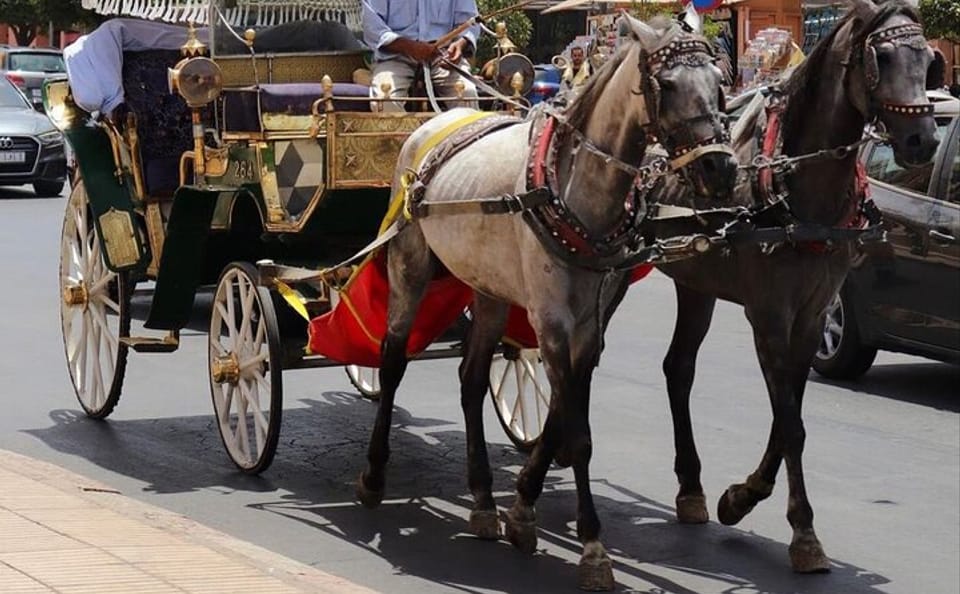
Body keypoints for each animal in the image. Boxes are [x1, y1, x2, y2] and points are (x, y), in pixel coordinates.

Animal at [355, 15, 738, 591]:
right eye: (667, 85)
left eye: (720, 84)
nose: (721, 170)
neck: (575, 188)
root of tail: (435, 121)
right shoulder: (552, 322)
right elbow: (578, 435)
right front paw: (593, 548)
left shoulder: (589, 324)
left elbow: (569, 414)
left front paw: (522, 513)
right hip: (409, 266)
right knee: (393, 360)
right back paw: (376, 475)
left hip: (489, 289)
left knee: (471, 379)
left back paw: (483, 500)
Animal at [648, 0, 938, 573]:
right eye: (882, 58)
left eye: (927, 59)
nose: (924, 141)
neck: (795, 183)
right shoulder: (768, 315)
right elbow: (790, 420)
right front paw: (801, 531)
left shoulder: (813, 313)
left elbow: (791, 418)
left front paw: (740, 498)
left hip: (697, 281)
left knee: (679, 368)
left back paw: (691, 487)